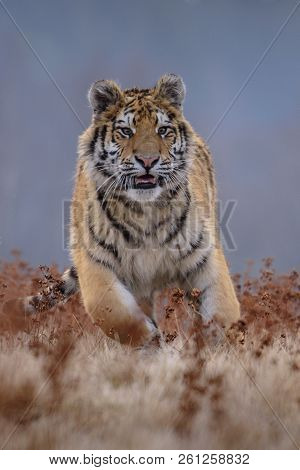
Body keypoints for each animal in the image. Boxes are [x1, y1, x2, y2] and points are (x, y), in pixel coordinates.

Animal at [8, 73, 239, 346]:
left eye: (163, 130)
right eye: (126, 131)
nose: (148, 160)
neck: (146, 209)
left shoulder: (204, 257)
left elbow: (222, 310)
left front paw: (215, 347)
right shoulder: (95, 262)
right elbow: (118, 316)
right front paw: (154, 343)